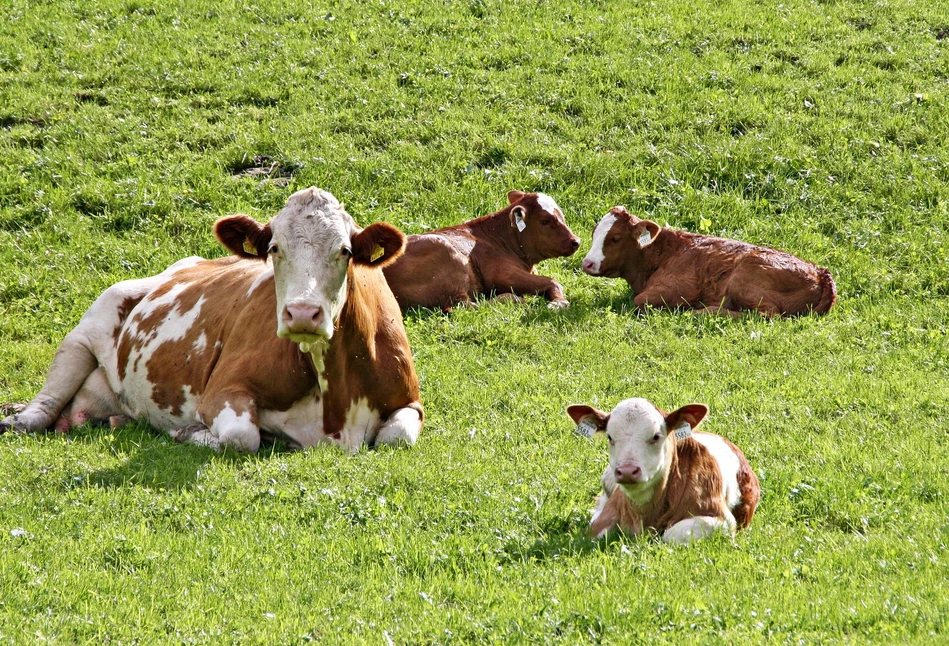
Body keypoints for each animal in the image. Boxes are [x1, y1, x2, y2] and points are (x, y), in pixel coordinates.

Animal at [0, 187, 422, 454]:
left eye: (345, 251)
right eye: (274, 248)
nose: (302, 313)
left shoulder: (411, 401)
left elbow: (396, 436)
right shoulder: (223, 390)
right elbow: (242, 436)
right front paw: (192, 433)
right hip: (90, 324)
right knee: (45, 403)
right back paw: (18, 419)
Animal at [384, 190, 576, 312]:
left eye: (562, 216)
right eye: (545, 221)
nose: (576, 241)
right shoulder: (501, 274)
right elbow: (552, 281)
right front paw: (559, 303)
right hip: (448, 257)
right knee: (464, 306)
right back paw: (512, 299)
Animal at [568, 398, 760, 544]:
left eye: (655, 436)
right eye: (609, 437)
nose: (628, 471)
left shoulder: (722, 520)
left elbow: (670, 534)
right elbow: (593, 531)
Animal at [576, 208, 836, 318]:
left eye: (615, 238)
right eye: (594, 232)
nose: (587, 263)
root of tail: (820, 273)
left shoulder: (678, 288)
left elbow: (640, 301)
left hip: (743, 276)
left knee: (766, 314)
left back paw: (701, 312)